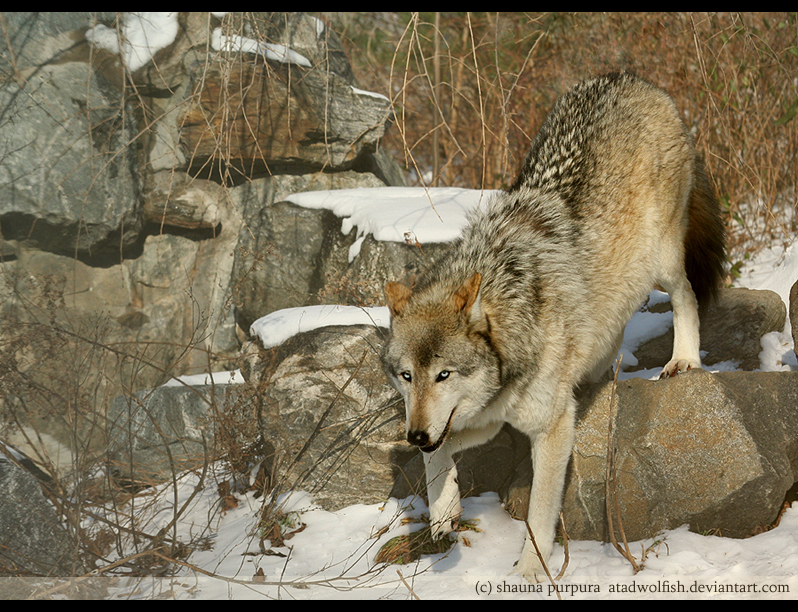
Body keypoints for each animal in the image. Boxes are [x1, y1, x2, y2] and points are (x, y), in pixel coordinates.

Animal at [384, 71, 728, 584]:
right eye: (407, 376)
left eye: (443, 375)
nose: (416, 434)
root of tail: (632, 78)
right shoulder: (484, 419)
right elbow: (437, 457)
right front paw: (444, 511)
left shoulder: (551, 429)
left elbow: (540, 513)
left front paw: (530, 571)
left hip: (663, 261)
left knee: (687, 298)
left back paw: (683, 359)